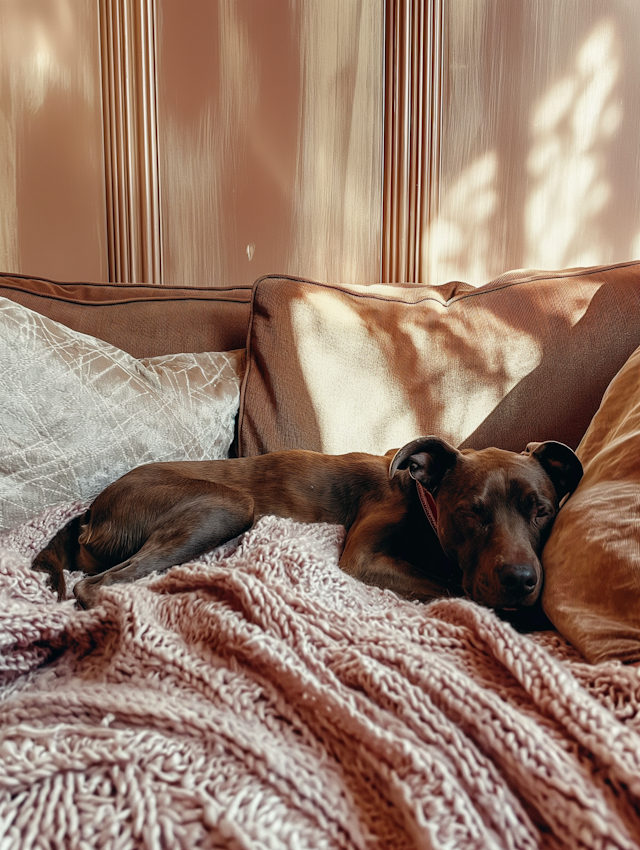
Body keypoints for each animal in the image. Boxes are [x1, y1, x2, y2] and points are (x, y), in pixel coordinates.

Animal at [32, 438, 584, 608]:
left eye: (541, 511)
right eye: (472, 512)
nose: (520, 580)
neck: (423, 504)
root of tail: (93, 510)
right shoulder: (362, 558)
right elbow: (457, 591)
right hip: (226, 503)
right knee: (96, 584)